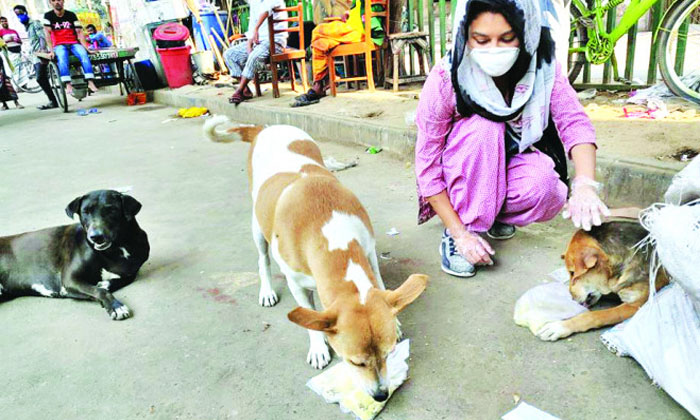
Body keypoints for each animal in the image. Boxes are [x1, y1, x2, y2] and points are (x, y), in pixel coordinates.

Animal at [0, 189, 149, 320]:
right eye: (85, 211)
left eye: (111, 210)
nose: (95, 237)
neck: (117, 248)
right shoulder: (70, 279)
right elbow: (100, 291)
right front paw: (116, 306)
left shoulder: (133, 267)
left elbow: (128, 277)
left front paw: (105, 284)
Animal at [205, 116, 430, 402]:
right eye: (354, 362)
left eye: (389, 354)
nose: (381, 395)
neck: (331, 233)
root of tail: (265, 128)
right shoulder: (296, 283)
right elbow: (309, 318)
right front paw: (318, 347)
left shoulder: (369, 250)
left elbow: (379, 283)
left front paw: (397, 320)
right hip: (257, 226)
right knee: (262, 259)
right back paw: (266, 290)